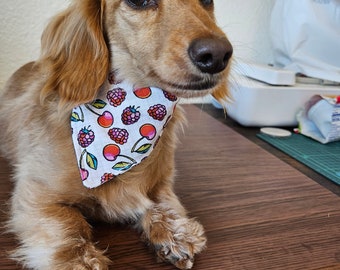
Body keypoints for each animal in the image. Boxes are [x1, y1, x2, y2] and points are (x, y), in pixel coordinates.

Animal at [0, 1, 231, 268]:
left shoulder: (161, 184)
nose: (218, 55)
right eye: (139, 2)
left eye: (208, 2)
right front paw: (78, 259)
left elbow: (161, 202)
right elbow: (68, 224)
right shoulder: (37, 192)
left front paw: (175, 231)